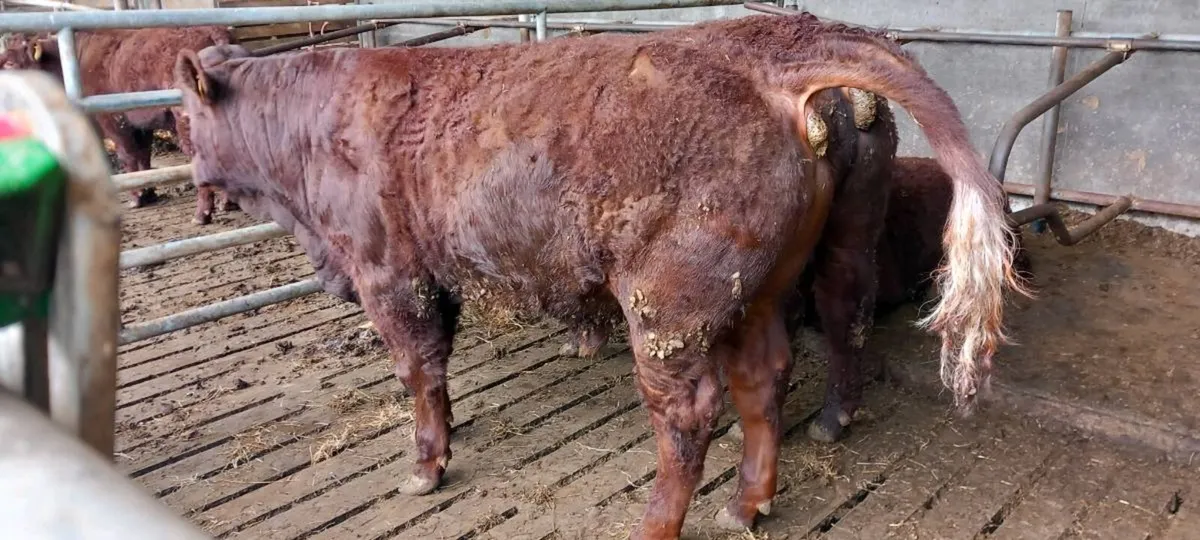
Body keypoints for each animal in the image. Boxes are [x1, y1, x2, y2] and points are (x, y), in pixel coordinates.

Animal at [0, 28, 237, 225]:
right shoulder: (140, 124)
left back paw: (202, 214)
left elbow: (128, 156)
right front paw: (148, 191)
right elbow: (143, 156)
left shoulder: (113, 121)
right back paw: (227, 202)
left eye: (11, 64)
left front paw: (136, 197)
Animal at [173, 23, 1025, 539]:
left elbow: (417, 370)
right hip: (766, 286)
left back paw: (658, 521)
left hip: (670, 307)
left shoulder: (390, 273)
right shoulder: (433, 277)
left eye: (182, 116)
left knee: (689, 415)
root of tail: (766, 46)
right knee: (773, 372)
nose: (194, 176)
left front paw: (424, 465)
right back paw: (748, 502)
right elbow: (439, 367)